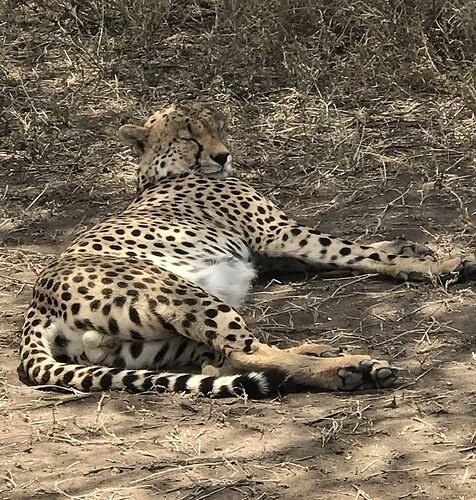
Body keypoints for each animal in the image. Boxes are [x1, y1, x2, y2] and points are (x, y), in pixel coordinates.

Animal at [18, 101, 476, 398]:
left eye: (218, 129)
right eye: (189, 136)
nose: (224, 156)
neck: (159, 176)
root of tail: (38, 302)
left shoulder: (271, 253)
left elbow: (355, 249)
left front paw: (408, 246)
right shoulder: (279, 233)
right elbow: (352, 250)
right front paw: (445, 263)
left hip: (151, 343)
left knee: (225, 360)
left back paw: (323, 357)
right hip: (181, 295)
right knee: (245, 352)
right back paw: (348, 367)